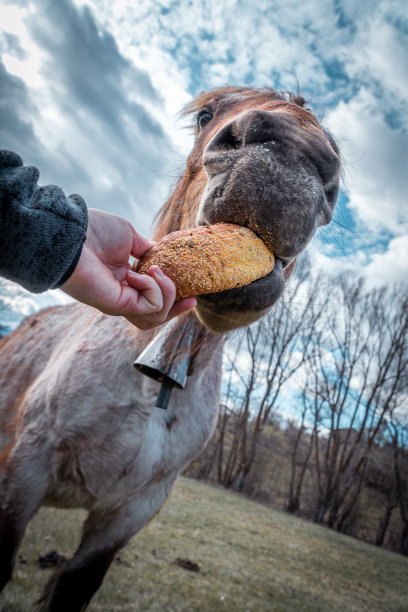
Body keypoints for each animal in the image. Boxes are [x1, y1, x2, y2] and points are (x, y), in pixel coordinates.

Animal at [0, 85, 342, 608]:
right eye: (205, 115)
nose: (290, 159)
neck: (154, 380)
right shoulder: (26, 468)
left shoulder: (133, 511)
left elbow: (74, 586)